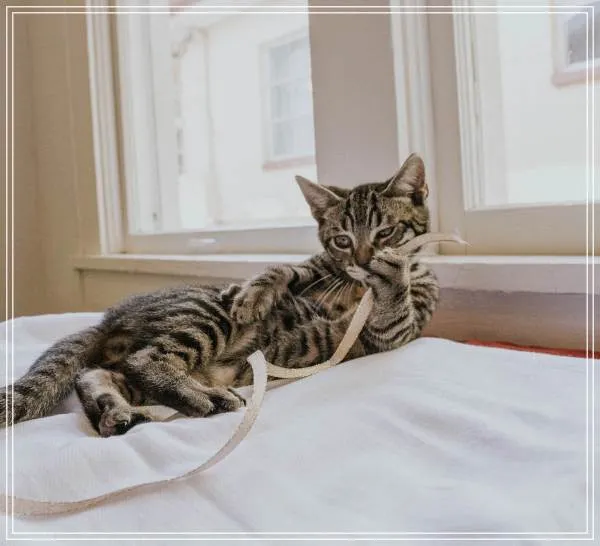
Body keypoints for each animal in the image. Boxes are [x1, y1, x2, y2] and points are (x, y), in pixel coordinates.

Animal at [0, 153, 439, 437]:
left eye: (386, 232)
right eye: (343, 240)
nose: (364, 259)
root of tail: (110, 316)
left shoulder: (398, 327)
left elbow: (392, 308)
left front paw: (391, 273)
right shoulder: (318, 269)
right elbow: (285, 269)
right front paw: (254, 293)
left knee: (99, 373)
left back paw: (115, 411)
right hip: (206, 315)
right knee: (146, 360)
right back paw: (202, 398)